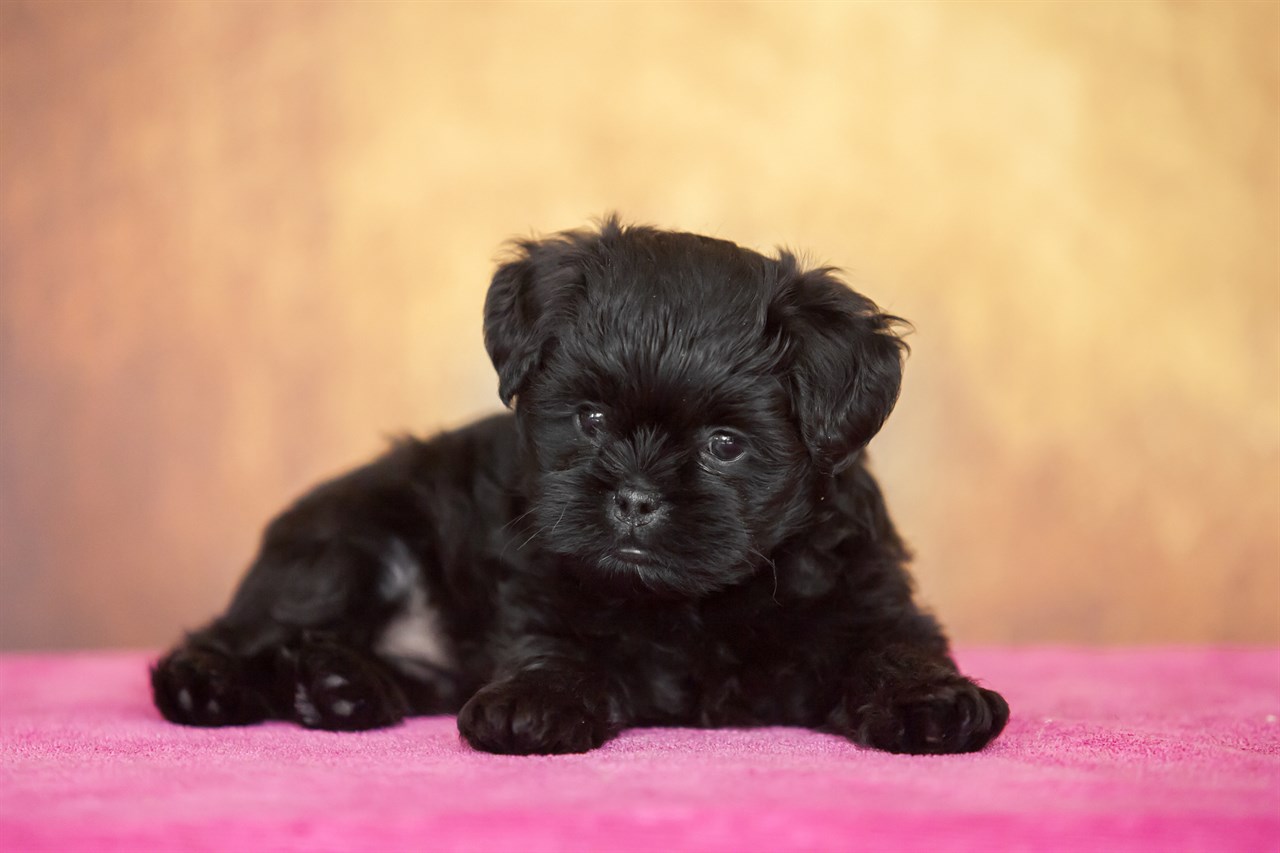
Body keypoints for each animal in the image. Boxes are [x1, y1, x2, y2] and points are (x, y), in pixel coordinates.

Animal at [152, 217, 1008, 753]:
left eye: (726, 445)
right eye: (591, 418)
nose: (633, 496)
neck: (692, 602)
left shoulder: (868, 593)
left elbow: (897, 647)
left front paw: (933, 701)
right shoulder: (542, 582)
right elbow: (554, 643)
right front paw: (535, 700)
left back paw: (339, 685)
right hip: (350, 544)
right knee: (241, 633)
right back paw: (211, 685)